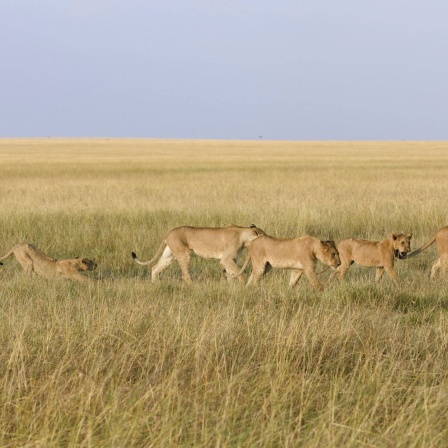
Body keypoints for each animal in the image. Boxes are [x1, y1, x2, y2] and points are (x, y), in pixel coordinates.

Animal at [133, 224, 266, 284]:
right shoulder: (226, 259)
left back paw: (155, 283)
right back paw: (193, 286)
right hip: (184, 254)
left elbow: (230, 273)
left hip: (169, 256)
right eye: (264, 235)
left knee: (155, 268)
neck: (244, 237)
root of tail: (168, 233)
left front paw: (231, 285)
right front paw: (243, 283)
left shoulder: (231, 260)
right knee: (185, 275)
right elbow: (240, 272)